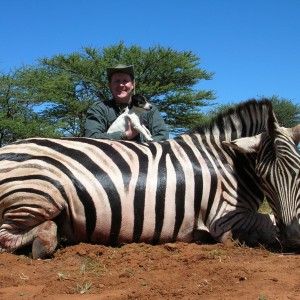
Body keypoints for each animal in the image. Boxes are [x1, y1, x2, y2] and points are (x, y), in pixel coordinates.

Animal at [0, 99, 298, 258]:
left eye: (298, 173)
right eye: (263, 176)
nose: (293, 236)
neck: (226, 162)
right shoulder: (225, 219)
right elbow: (269, 223)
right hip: (38, 195)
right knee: (10, 236)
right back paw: (44, 241)